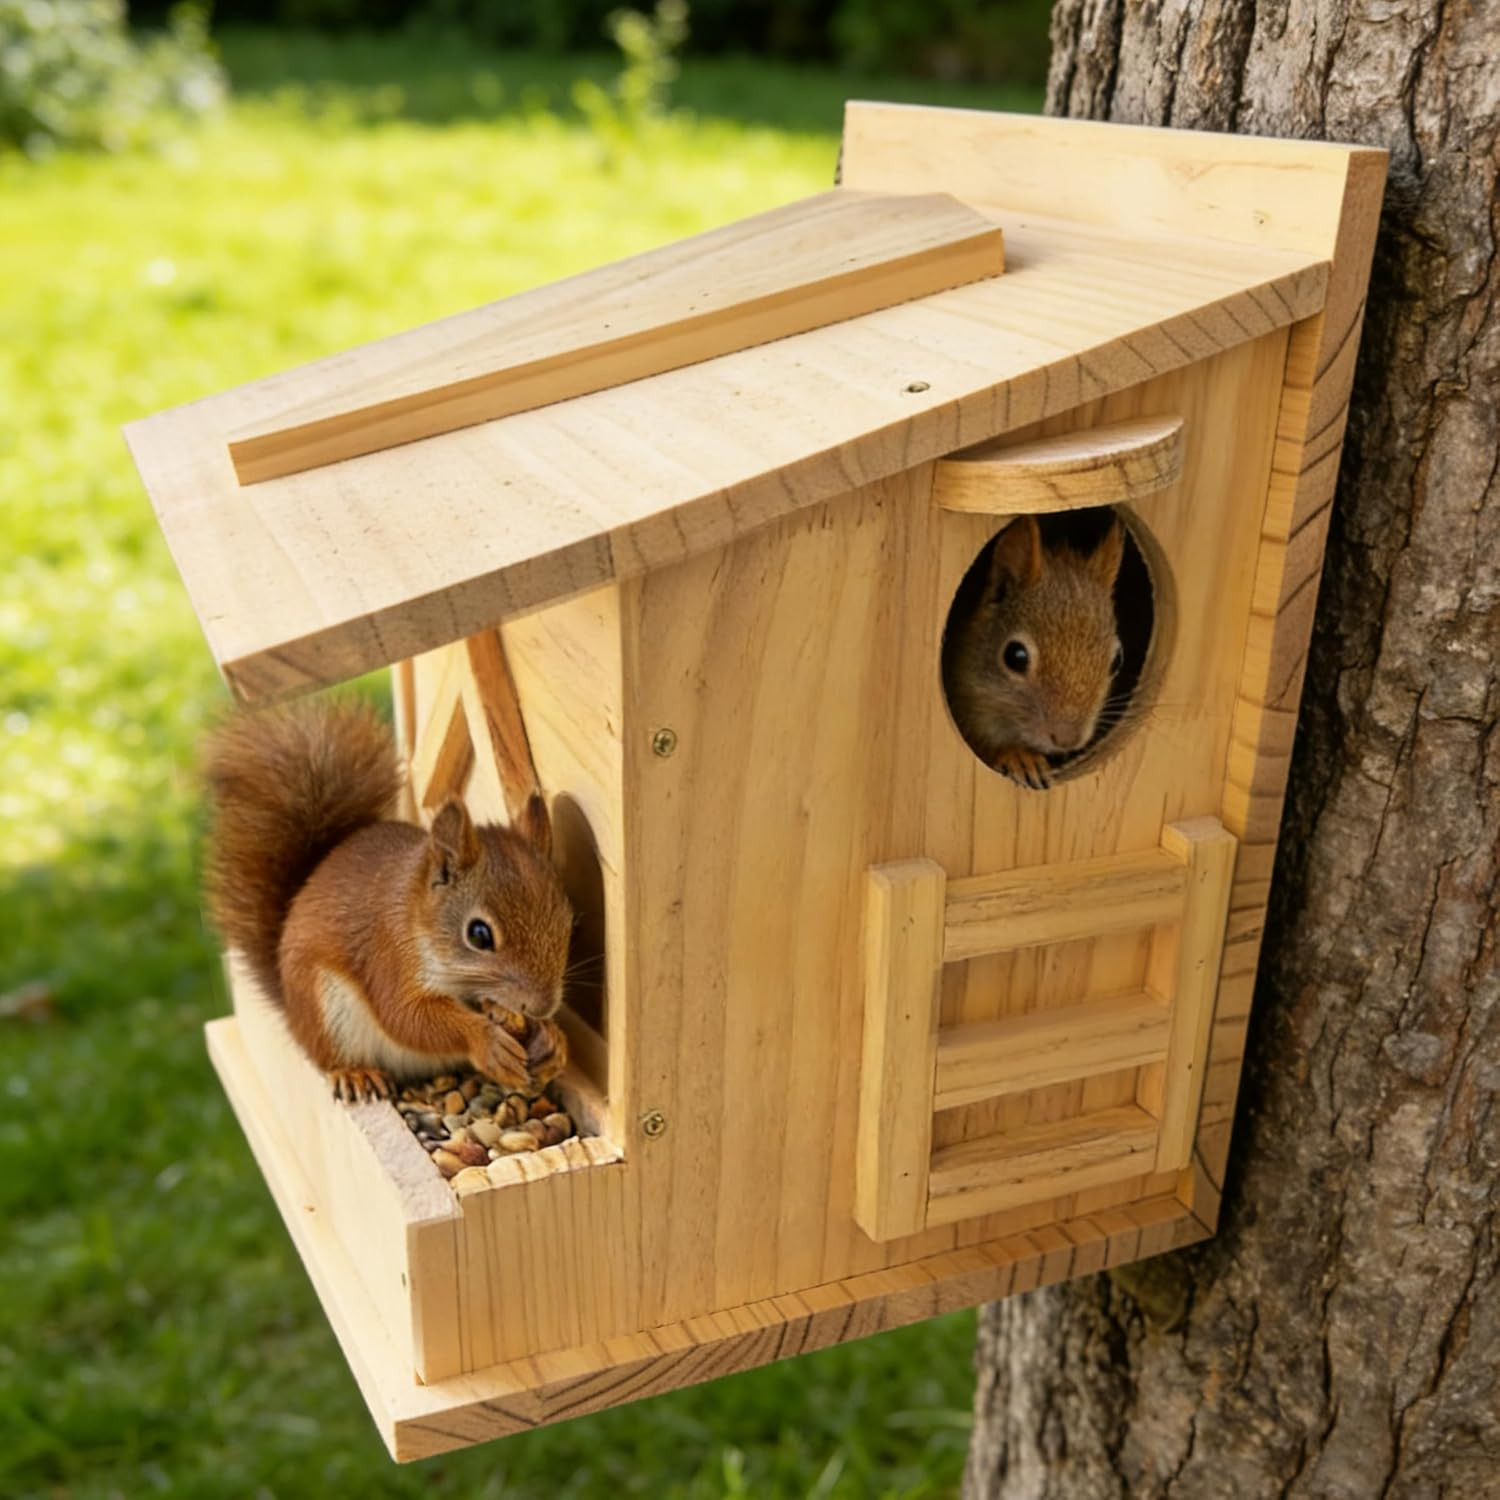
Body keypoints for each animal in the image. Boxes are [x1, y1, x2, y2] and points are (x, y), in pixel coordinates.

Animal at [203, 698, 574, 1103]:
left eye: (567, 919)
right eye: (478, 935)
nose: (543, 1006)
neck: (418, 920)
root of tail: (291, 1009)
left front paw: (552, 1039)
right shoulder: (389, 955)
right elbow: (407, 1016)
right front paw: (487, 1041)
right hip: (325, 1007)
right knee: (330, 1055)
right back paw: (354, 1073)